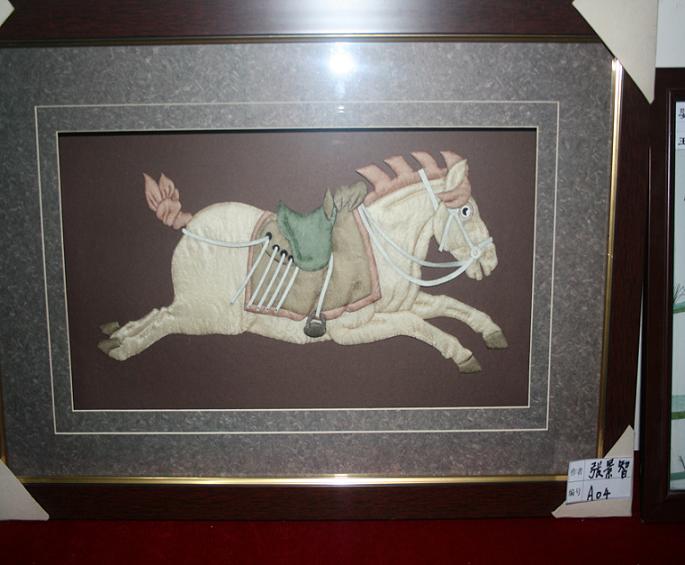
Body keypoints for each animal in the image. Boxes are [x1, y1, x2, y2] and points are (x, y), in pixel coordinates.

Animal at [97, 151, 507, 372]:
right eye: (466, 210)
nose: (491, 261)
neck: (383, 244)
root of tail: (190, 223)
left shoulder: (405, 303)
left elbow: (448, 304)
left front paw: (490, 331)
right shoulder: (351, 328)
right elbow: (416, 324)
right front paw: (462, 353)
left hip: (194, 307)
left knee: (156, 314)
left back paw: (116, 335)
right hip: (210, 316)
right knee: (163, 322)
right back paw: (123, 348)